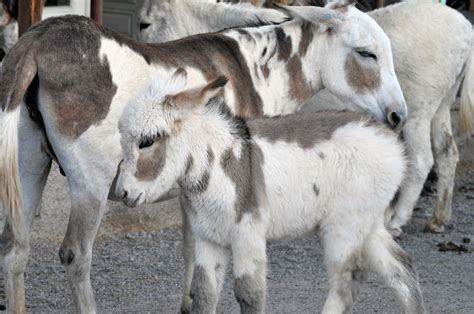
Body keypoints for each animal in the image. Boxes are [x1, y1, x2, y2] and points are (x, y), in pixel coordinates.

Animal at [115, 75, 426, 312]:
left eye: (146, 142)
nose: (121, 192)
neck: (218, 164)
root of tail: (390, 141)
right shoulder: (209, 238)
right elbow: (203, 294)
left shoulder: (247, 234)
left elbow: (249, 294)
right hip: (367, 223)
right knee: (402, 269)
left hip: (344, 226)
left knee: (346, 283)